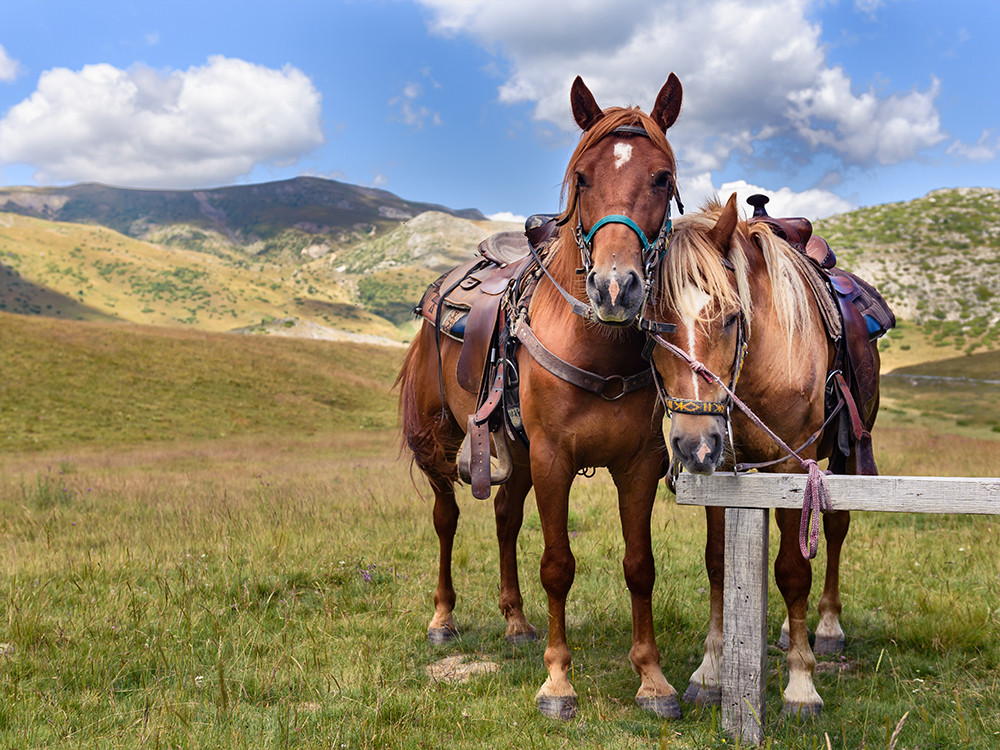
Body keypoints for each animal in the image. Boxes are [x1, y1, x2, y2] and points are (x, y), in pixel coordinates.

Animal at [398, 76, 688, 724]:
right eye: (582, 177)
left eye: (663, 177)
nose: (615, 288)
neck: (597, 347)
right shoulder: (556, 458)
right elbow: (558, 565)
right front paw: (558, 682)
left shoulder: (639, 464)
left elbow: (640, 567)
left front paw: (652, 679)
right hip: (438, 444)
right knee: (446, 519)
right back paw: (443, 618)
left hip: (517, 453)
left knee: (505, 519)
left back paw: (516, 622)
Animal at [644, 197, 880, 720]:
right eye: (654, 327)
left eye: (732, 317)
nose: (695, 444)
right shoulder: (725, 469)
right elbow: (718, 563)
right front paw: (710, 672)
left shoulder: (794, 467)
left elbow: (794, 571)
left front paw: (801, 685)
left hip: (842, 456)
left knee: (835, 529)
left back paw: (826, 627)